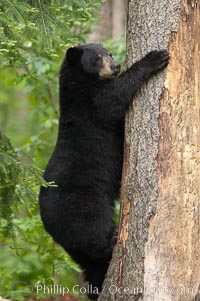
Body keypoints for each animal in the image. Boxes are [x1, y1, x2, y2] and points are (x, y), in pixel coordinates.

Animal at [39, 43, 169, 298]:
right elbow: (114, 98)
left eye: (107, 53)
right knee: (92, 231)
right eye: (97, 58)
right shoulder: (90, 105)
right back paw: (112, 239)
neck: (81, 84)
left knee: (91, 263)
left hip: (76, 247)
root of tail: (48, 226)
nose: (116, 65)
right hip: (80, 205)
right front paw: (154, 58)